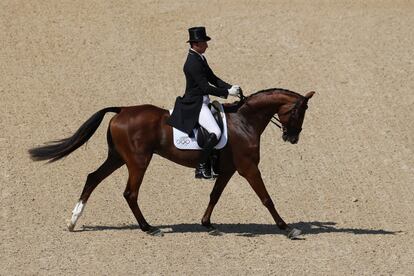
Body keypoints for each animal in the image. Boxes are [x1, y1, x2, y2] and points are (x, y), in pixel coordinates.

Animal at [28, 88, 314, 239]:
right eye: (299, 112)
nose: (293, 137)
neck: (244, 120)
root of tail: (122, 110)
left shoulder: (229, 169)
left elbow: (215, 195)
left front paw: (207, 223)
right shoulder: (248, 168)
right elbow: (266, 198)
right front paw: (287, 228)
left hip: (118, 158)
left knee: (92, 178)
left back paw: (73, 221)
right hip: (138, 161)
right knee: (130, 193)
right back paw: (148, 228)